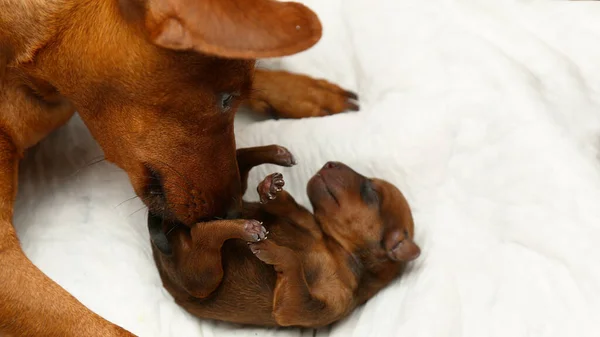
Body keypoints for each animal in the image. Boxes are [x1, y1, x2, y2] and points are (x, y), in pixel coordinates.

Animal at [150, 146, 422, 326]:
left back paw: (247, 228)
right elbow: (286, 205)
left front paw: (273, 251)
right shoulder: (303, 218)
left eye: (371, 191)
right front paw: (271, 190)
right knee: (238, 164)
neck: (336, 246)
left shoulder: (305, 308)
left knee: (203, 234)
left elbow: (294, 261)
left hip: (202, 276)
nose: (330, 163)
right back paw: (275, 154)